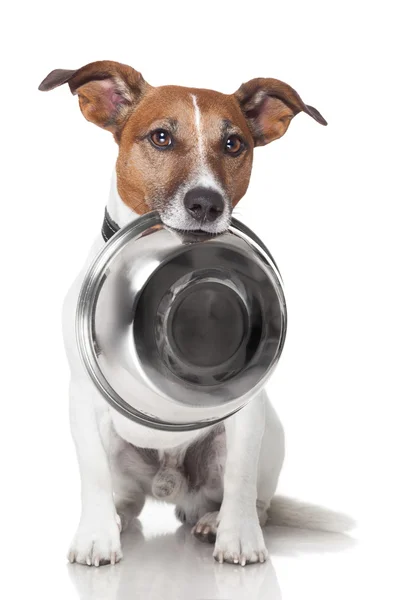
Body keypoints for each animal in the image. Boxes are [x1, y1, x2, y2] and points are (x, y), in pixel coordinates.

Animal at [37, 59, 326, 568]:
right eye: (161, 138)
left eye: (233, 144)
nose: (207, 203)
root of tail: (170, 486)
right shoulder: (82, 398)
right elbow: (92, 471)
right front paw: (96, 537)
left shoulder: (247, 412)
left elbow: (241, 477)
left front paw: (238, 537)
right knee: (125, 498)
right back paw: (118, 519)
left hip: (267, 433)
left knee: (254, 497)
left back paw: (215, 521)